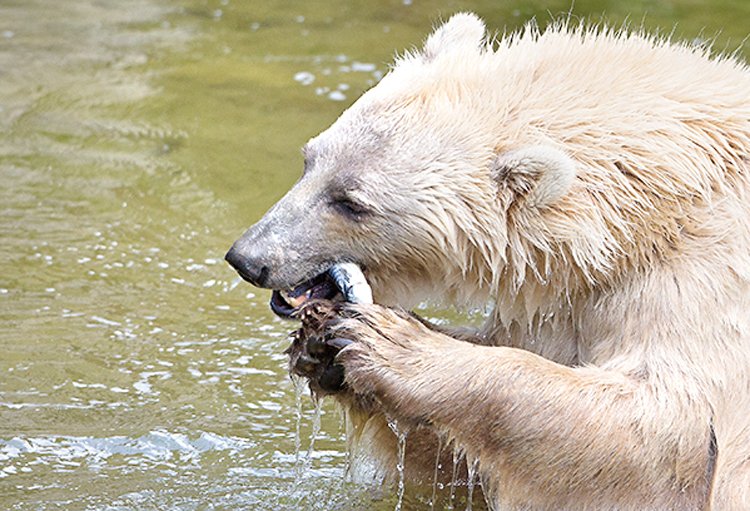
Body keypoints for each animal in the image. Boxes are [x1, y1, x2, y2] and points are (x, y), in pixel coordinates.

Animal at [226, 12, 750, 511]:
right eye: (310, 160)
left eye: (352, 202)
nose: (248, 259)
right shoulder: (563, 298)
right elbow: (463, 463)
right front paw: (321, 346)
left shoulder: (704, 275)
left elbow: (664, 431)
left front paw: (390, 343)